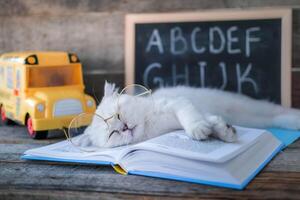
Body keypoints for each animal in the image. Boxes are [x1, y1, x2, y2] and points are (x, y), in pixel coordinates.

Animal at [81, 81, 300, 148]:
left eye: (118, 115)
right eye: (112, 134)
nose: (124, 127)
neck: (151, 126)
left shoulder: (179, 103)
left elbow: (190, 117)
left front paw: (198, 129)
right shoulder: (201, 112)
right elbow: (212, 122)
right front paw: (224, 131)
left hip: (248, 106)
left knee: (278, 111)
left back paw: (296, 118)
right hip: (252, 117)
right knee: (274, 118)